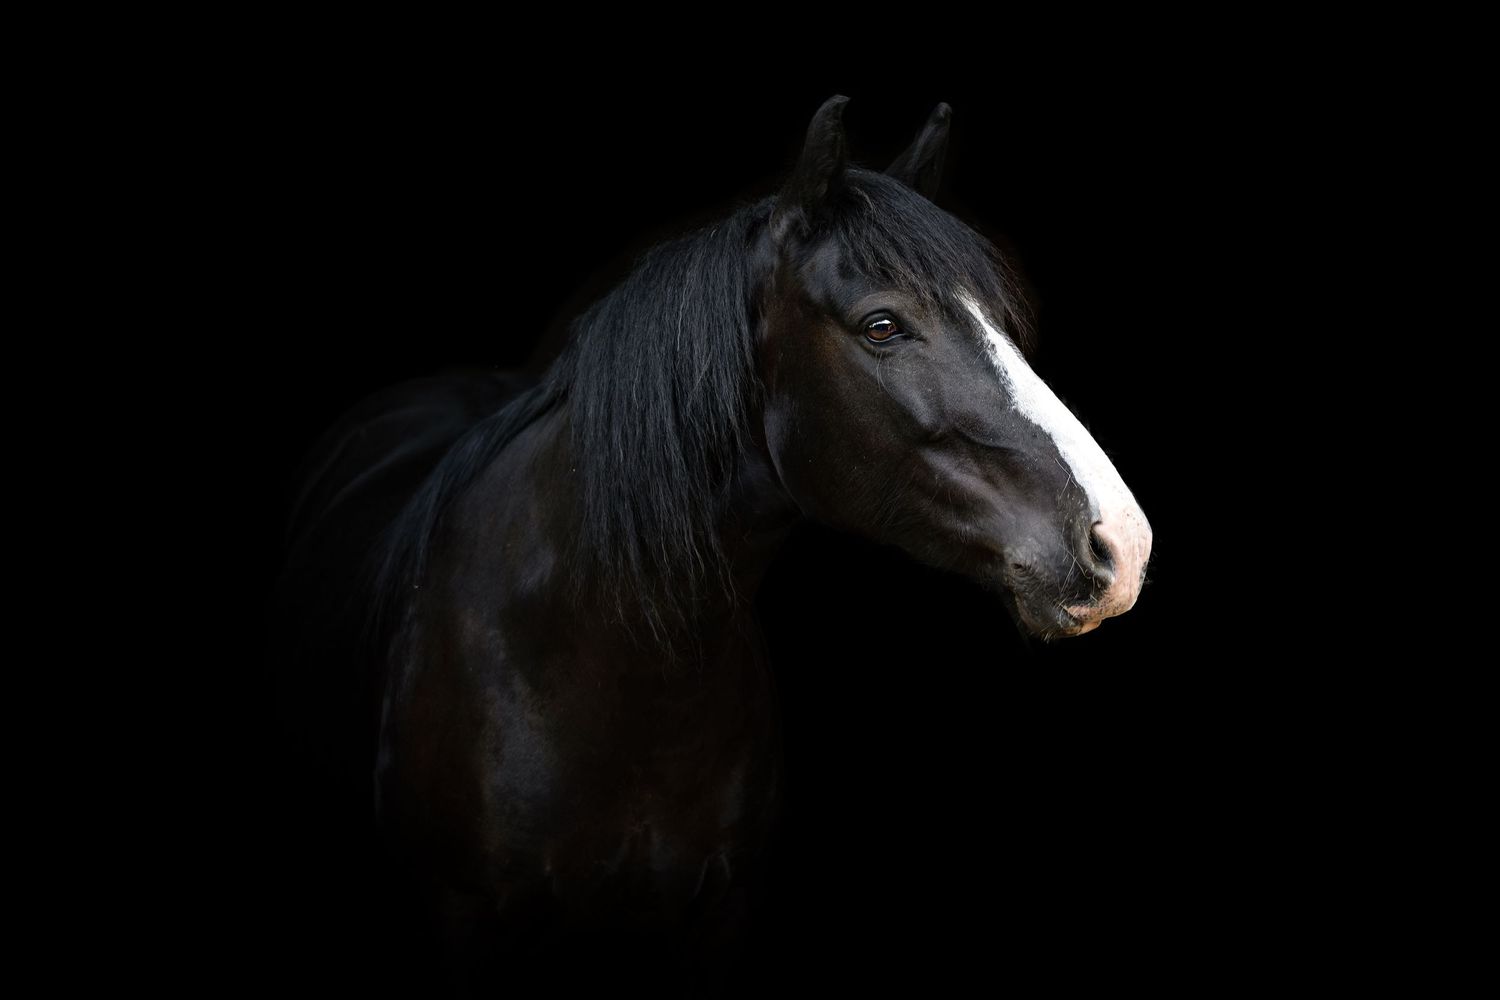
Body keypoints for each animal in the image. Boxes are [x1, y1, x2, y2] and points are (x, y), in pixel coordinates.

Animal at [273, 95, 1152, 992]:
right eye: (882, 325)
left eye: (1001, 323)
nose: (1121, 545)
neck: (601, 670)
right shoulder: (468, 924)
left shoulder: (715, 919)